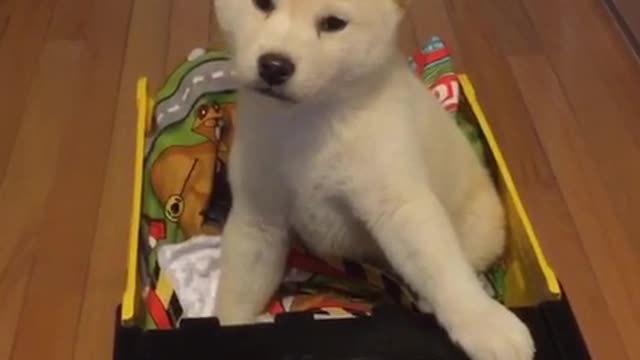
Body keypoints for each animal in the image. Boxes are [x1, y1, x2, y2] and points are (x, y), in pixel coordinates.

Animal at [212, 1, 532, 358]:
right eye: (263, 5)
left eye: (333, 24)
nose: (274, 66)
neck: (307, 120)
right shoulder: (259, 217)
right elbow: (238, 288)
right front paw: (227, 327)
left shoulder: (397, 204)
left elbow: (441, 268)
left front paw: (482, 322)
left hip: (479, 227)